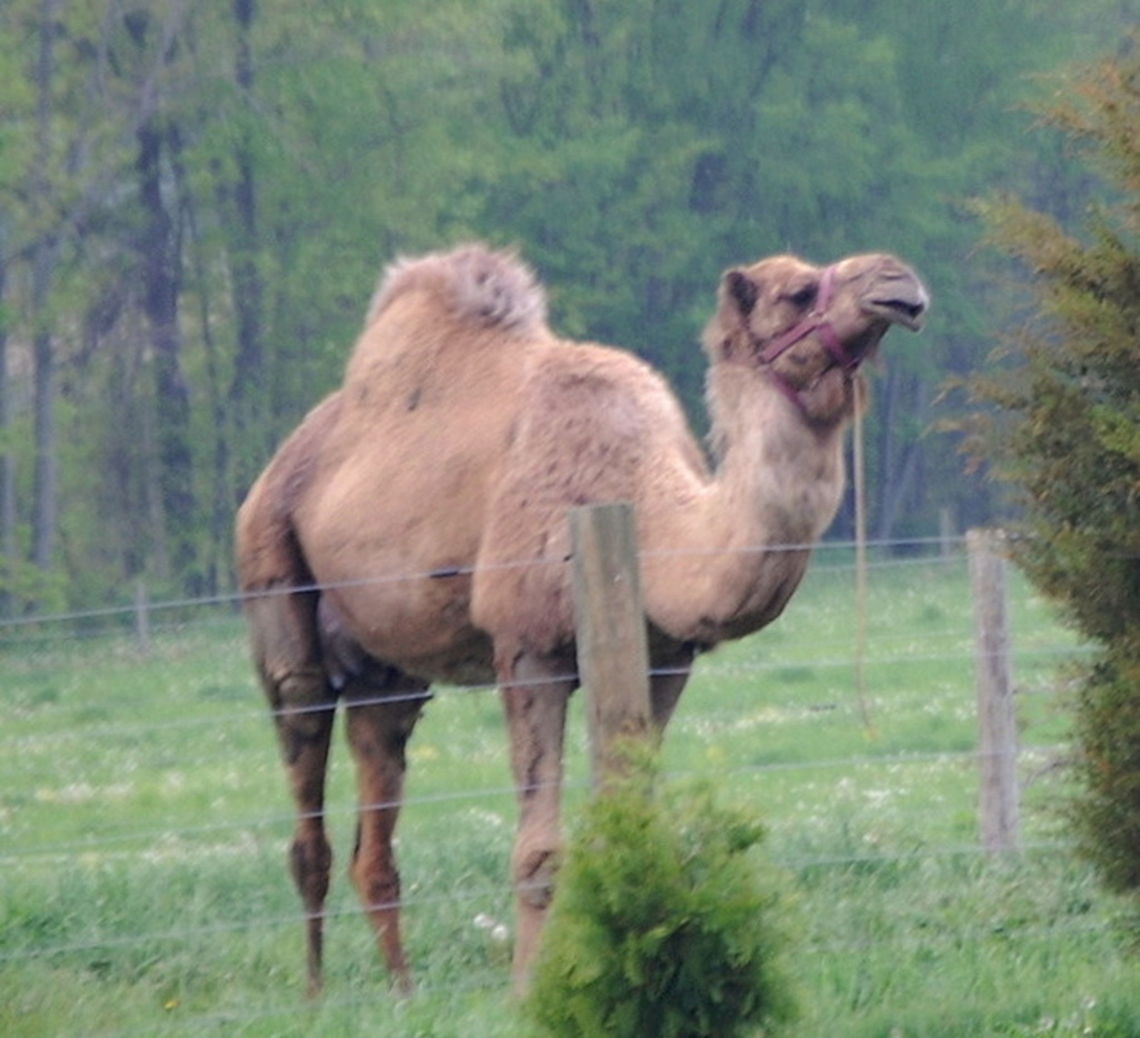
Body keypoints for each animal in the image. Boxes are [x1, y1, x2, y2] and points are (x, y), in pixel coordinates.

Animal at [235, 242, 928, 995]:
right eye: (799, 293)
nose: (899, 279)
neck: (650, 518)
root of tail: (279, 464)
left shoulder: (665, 660)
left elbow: (630, 821)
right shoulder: (526, 648)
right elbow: (539, 852)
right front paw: (529, 990)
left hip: (387, 670)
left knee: (376, 811)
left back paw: (404, 995)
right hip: (274, 588)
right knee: (308, 810)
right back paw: (315, 996)